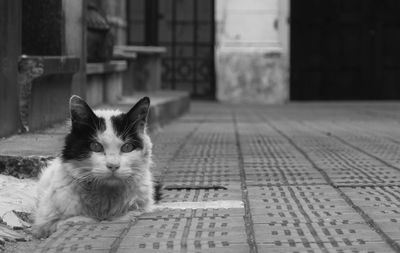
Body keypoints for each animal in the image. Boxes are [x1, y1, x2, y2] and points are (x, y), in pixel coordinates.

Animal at [33, 94, 157, 237]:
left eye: (127, 147)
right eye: (96, 146)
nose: (113, 165)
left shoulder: (144, 207)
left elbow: (133, 213)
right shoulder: (44, 223)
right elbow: (74, 220)